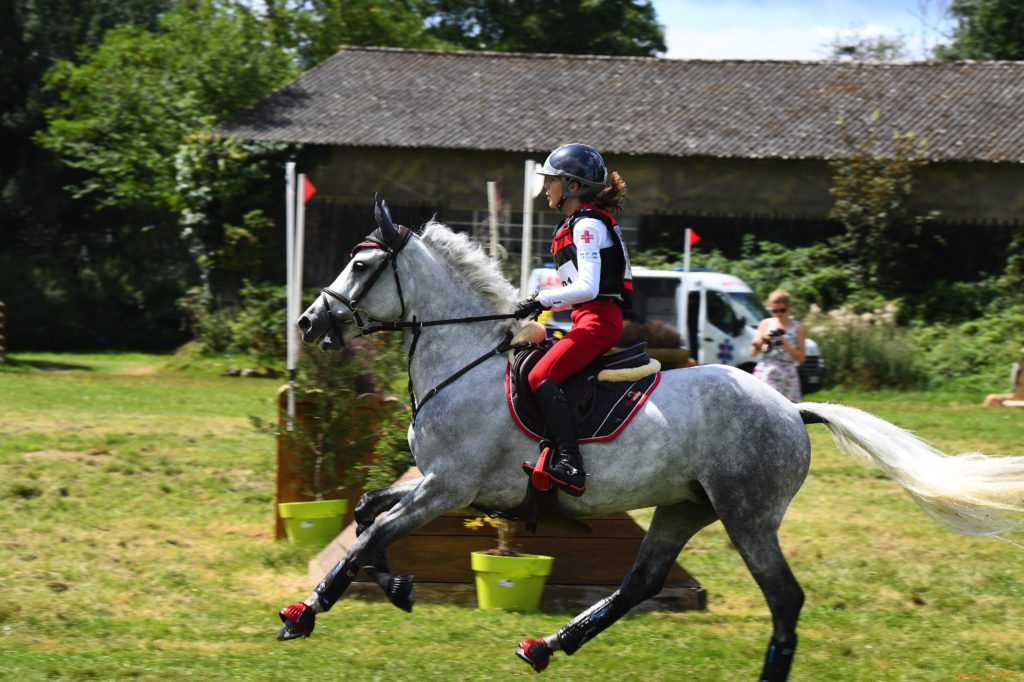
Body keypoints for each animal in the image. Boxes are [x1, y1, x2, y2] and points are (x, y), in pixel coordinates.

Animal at [278, 193, 1024, 675]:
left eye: (362, 267)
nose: (311, 323)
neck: (464, 361)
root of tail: (792, 410)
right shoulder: (438, 487)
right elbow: (366, 515)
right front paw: (398, 587)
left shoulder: (449, 486)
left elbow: (371, 531)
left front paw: (304, 613)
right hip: (684, 506)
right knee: (642, 581)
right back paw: (547, 646)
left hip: (747, 517)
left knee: (784, 599)